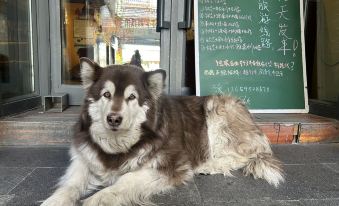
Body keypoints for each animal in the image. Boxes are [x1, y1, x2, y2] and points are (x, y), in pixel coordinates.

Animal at [43, 58, 286, 206]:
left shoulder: (171, 166)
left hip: (217, 110)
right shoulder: (84, 159)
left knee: (244, 154)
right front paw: (54, 200)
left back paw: (210, 165)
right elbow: (70, 184)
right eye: (106, 95)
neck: (119, 144)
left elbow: (126, 179)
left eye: (132, 97)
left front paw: (98, 198)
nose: (113, 119)